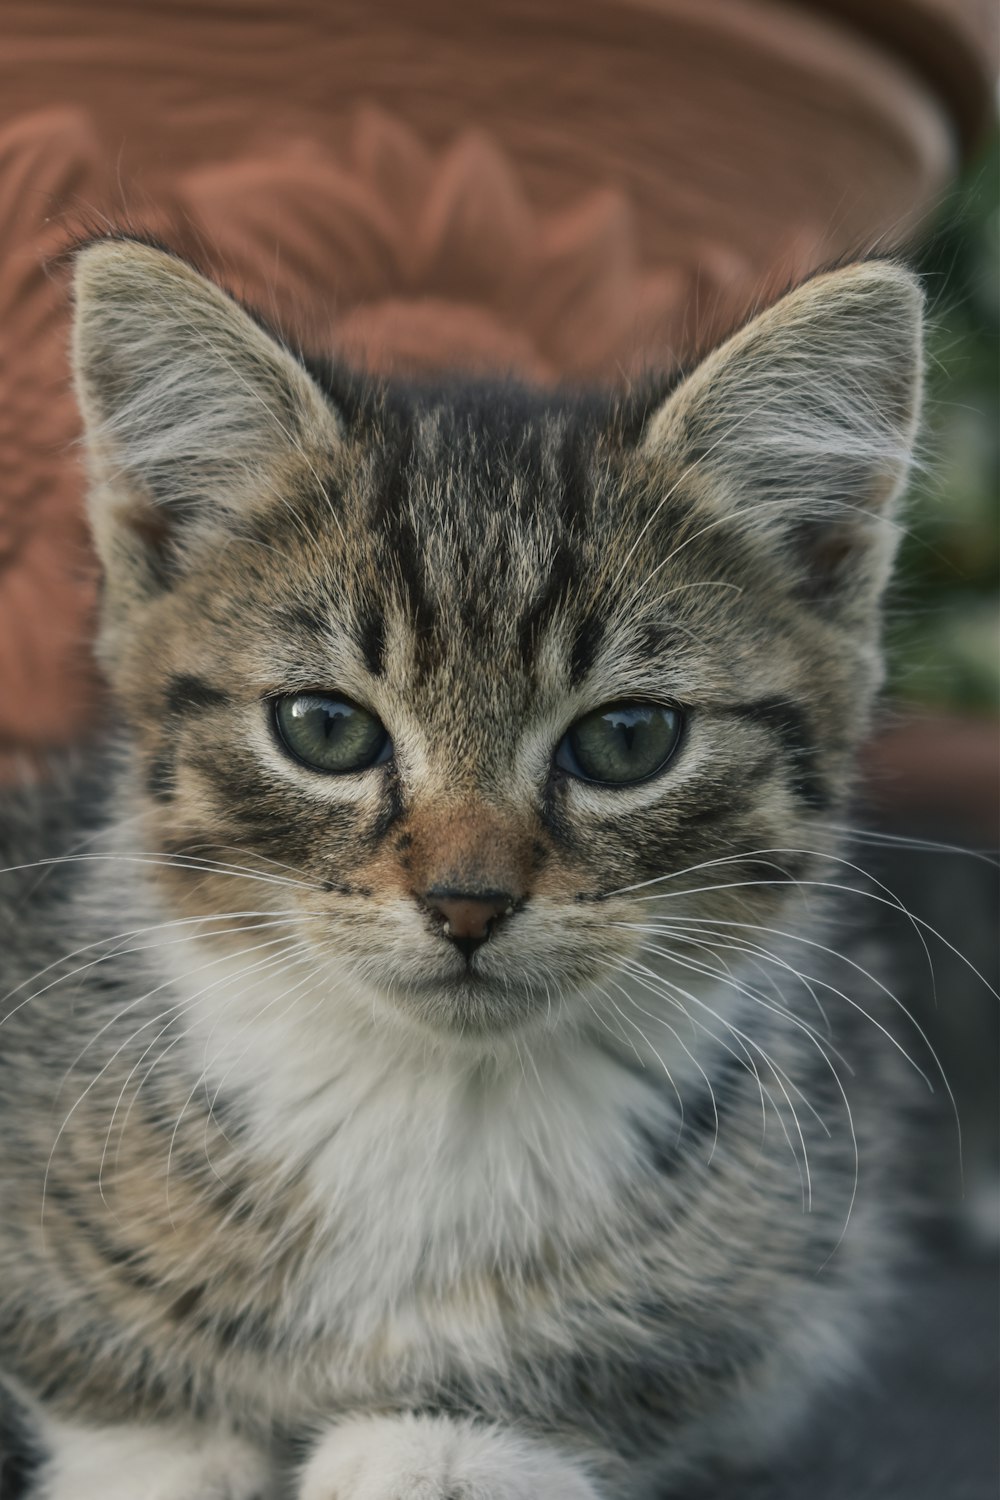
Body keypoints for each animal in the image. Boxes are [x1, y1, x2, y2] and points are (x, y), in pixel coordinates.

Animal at [0, 240, 923, 1494]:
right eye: (323, 728)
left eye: (628, 740)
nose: (468, 903)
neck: (434, 1103)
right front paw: (165, 1452)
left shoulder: (775, 1266)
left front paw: (442, 1446)